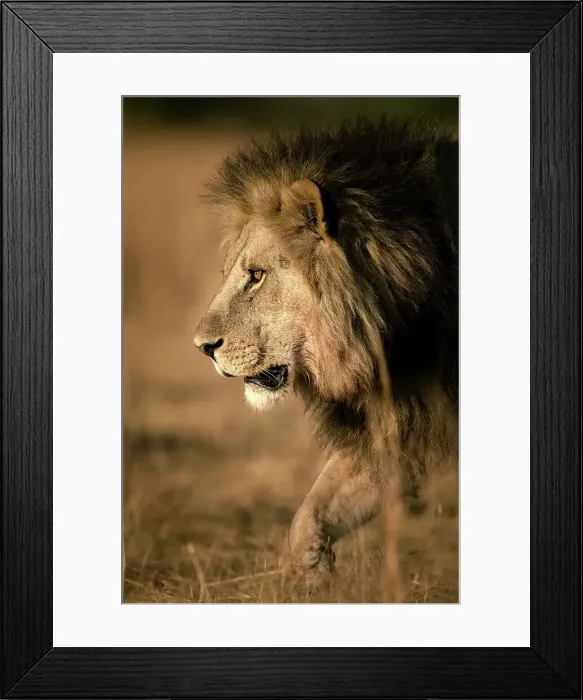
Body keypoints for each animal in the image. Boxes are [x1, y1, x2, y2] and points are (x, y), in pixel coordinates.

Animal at [193, 117, 458, 576]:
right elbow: (312, 513)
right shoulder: (395, 421)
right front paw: (316, 571)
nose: (202, 347)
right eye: (229, 273)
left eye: (257, 275)